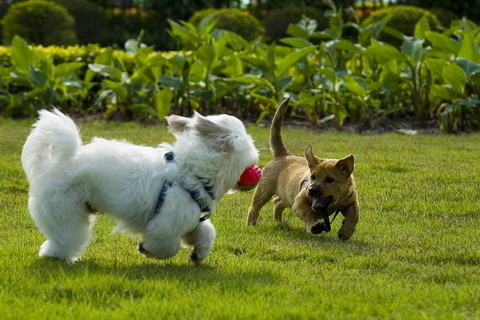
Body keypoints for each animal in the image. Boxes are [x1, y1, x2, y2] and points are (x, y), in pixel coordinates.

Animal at [21, 109, 258, 264]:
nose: (257, 166)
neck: (192, 171)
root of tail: (50, 166)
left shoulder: (189, 218)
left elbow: (206, 232)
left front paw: (198, 253)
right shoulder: (165, 224)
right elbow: (167, 245)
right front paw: (147, 249)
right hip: (66, 212)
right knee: (63, 238)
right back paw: (59, 256)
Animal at [246, 100, 358, 240]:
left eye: (330, 179)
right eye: (312, 177)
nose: (312, 190)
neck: (331, 204)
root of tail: (283, 154)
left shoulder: (351, 201)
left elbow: (354, 214)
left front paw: (346, 231)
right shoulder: (299, 201)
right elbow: (307, 213)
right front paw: (314, 225)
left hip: (287, 195)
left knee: (277, 202)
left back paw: (278, 222)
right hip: (264, 191)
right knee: (254, 207)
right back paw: (251, 224)